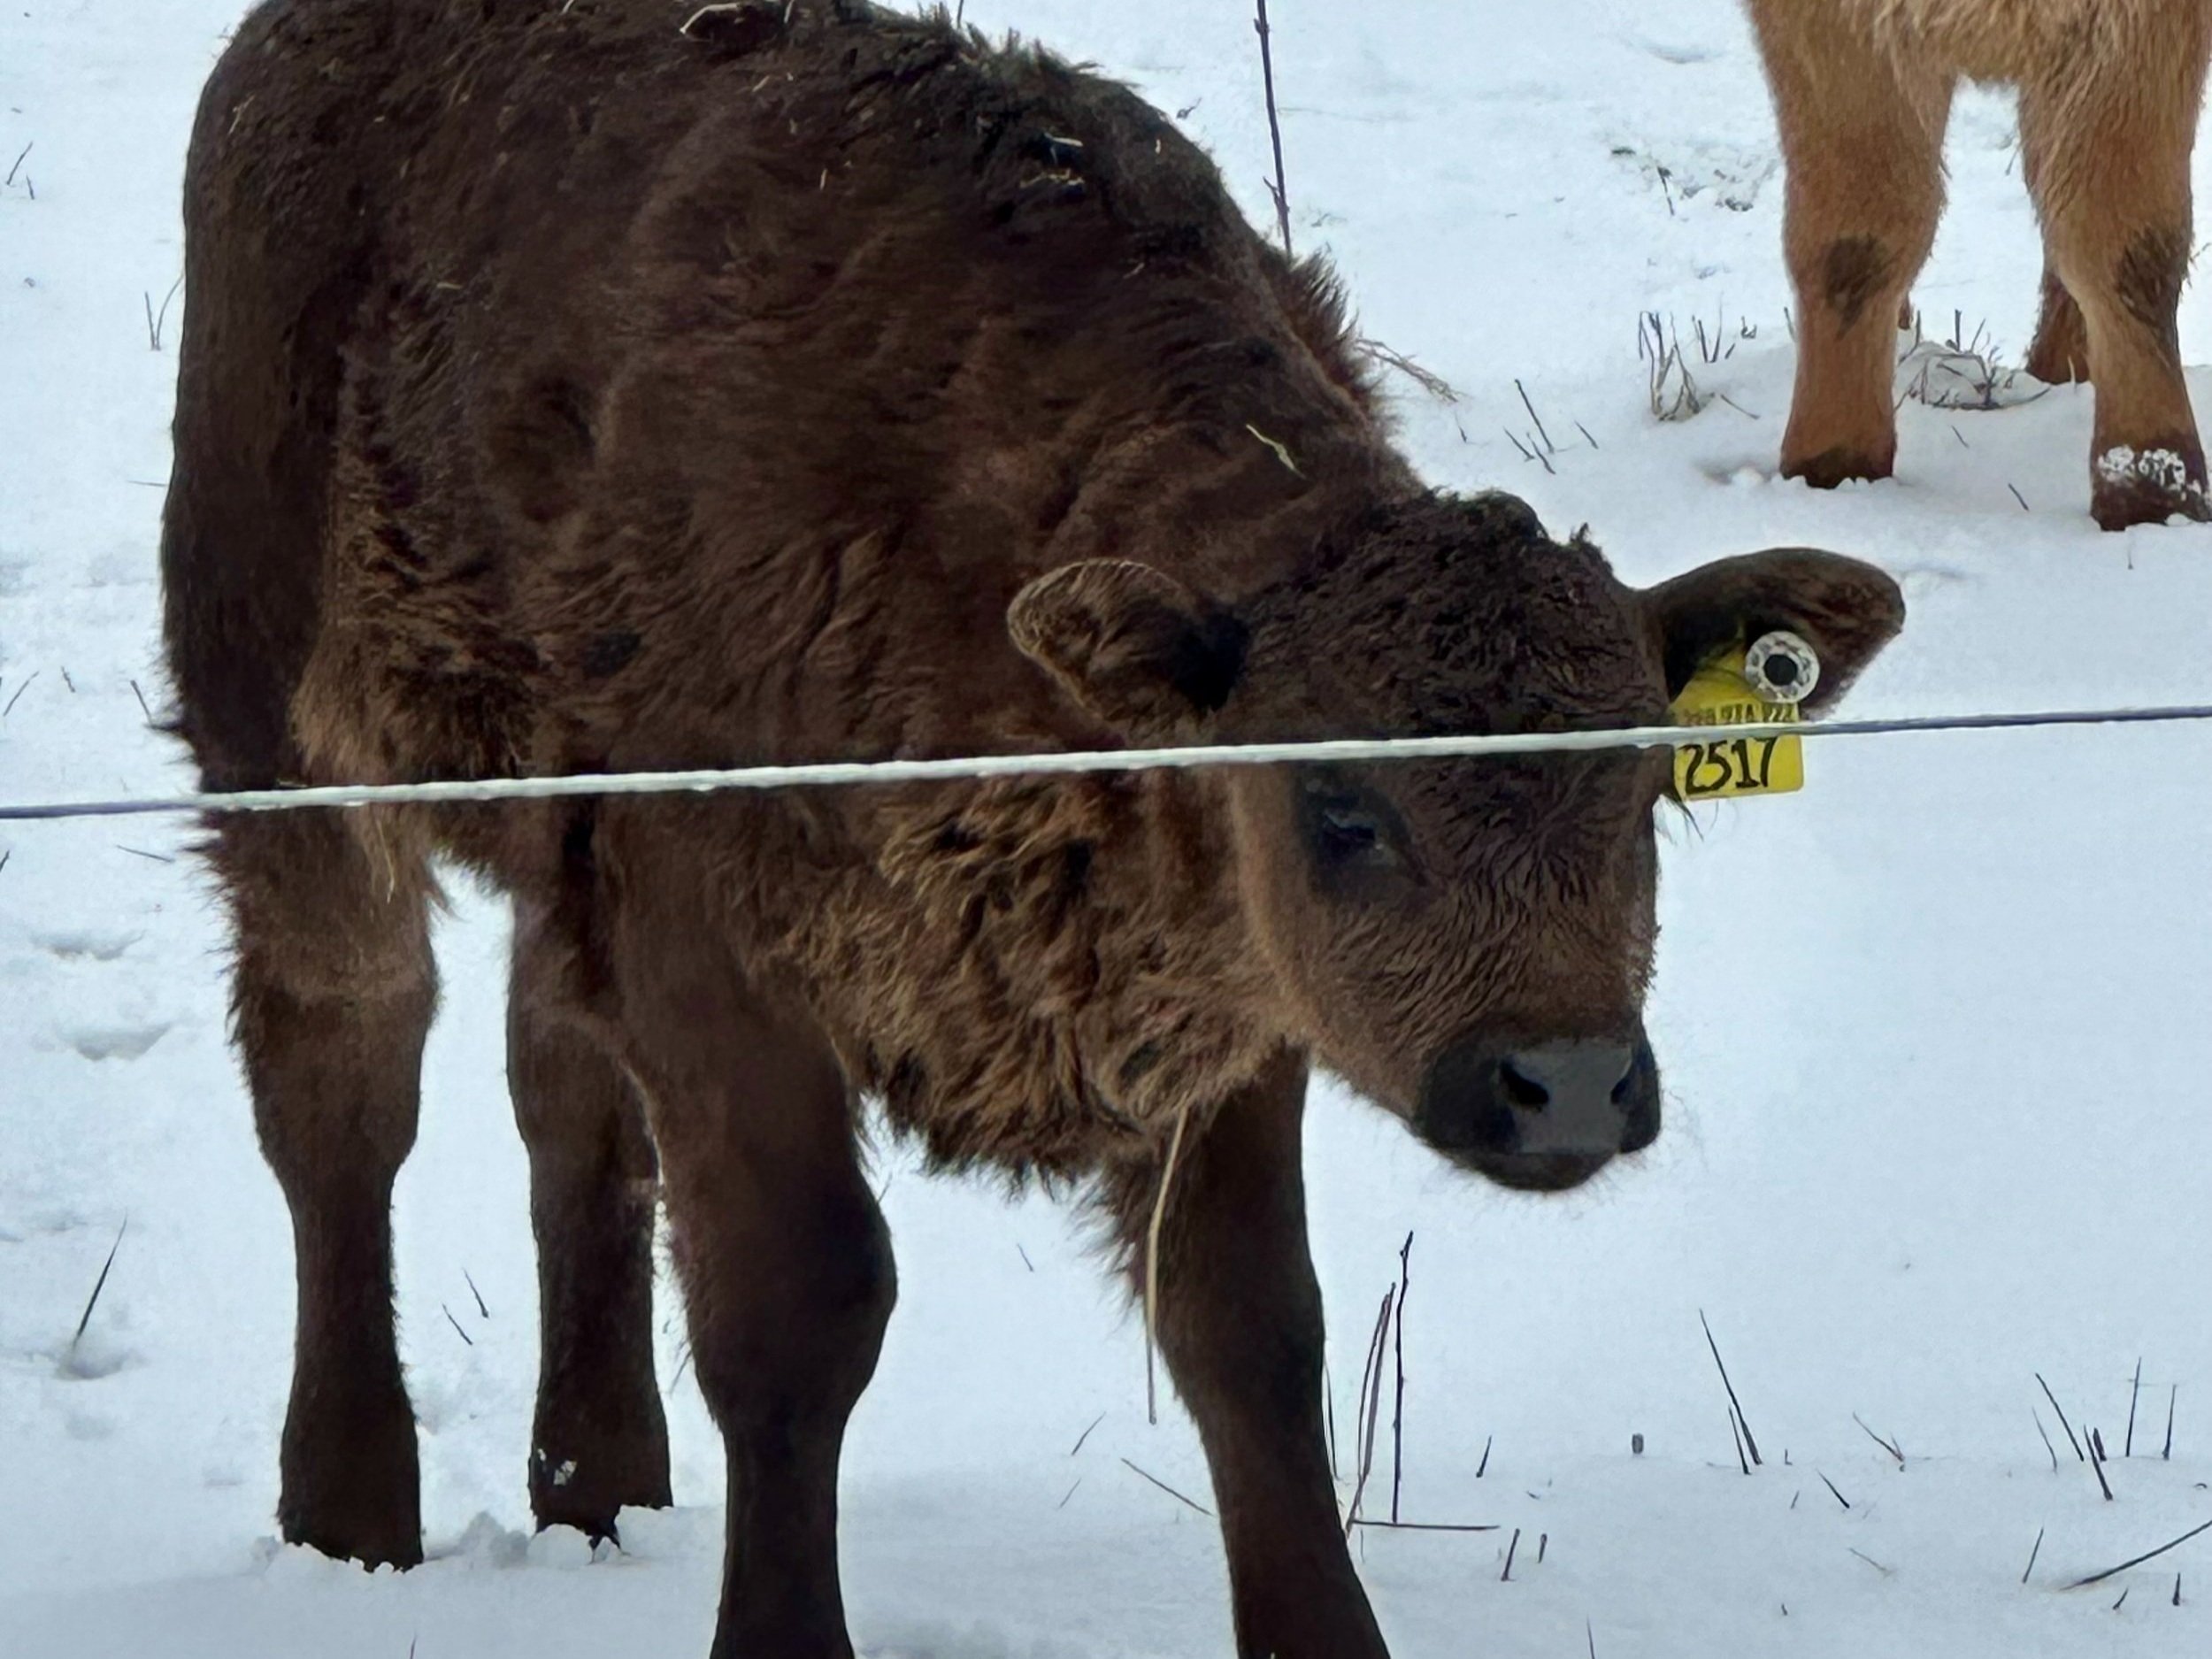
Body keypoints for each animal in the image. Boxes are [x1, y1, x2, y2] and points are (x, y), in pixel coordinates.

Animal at [161, 3, 1905, 1654]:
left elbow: (1249, 1328)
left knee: (559, 1088)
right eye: (1340, 806)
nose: (1567, 1083)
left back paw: (601, 1487)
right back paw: (349, 1510)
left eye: (1645, 791)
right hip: (281, 736)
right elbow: (797, 1313)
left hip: (553, 848)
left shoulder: (1217, 1010)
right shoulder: (717, 959)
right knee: (344, 1072)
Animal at [1743, 0, 2212, 530]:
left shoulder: (2138, 30)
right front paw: (1834, 462)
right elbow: (1858, 234)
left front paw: (2153, 484)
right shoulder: (1837, 30)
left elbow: (2125, 240)